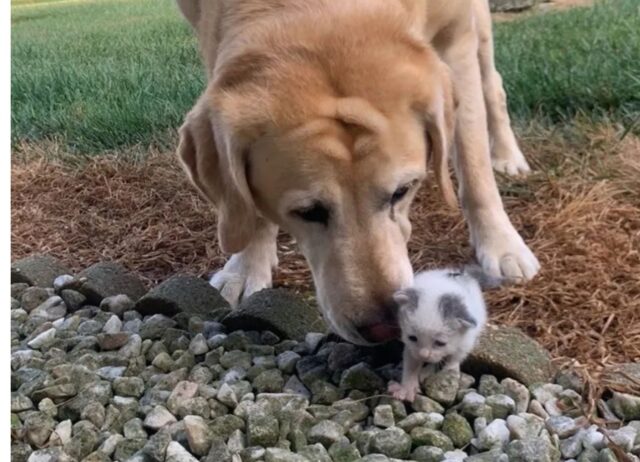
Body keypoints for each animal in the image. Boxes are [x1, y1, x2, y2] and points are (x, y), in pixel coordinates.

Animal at [172, 0, 536, 342]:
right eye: (308, 212)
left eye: (403, 191)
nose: (385, 327)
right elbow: (245, 201)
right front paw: (246, 267)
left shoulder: (456, 36)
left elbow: (474, 165)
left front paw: (501, 244)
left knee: (492, 85)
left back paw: (507, 156)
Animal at [384, 266, 496, 402]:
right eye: (412, 338)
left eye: (440, 343)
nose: (424, 355)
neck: (440, 287)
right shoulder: (412, 348)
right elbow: (411, 364)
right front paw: (407, 389)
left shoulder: (466, 340)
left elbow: (455, 356)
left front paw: (449, 371)